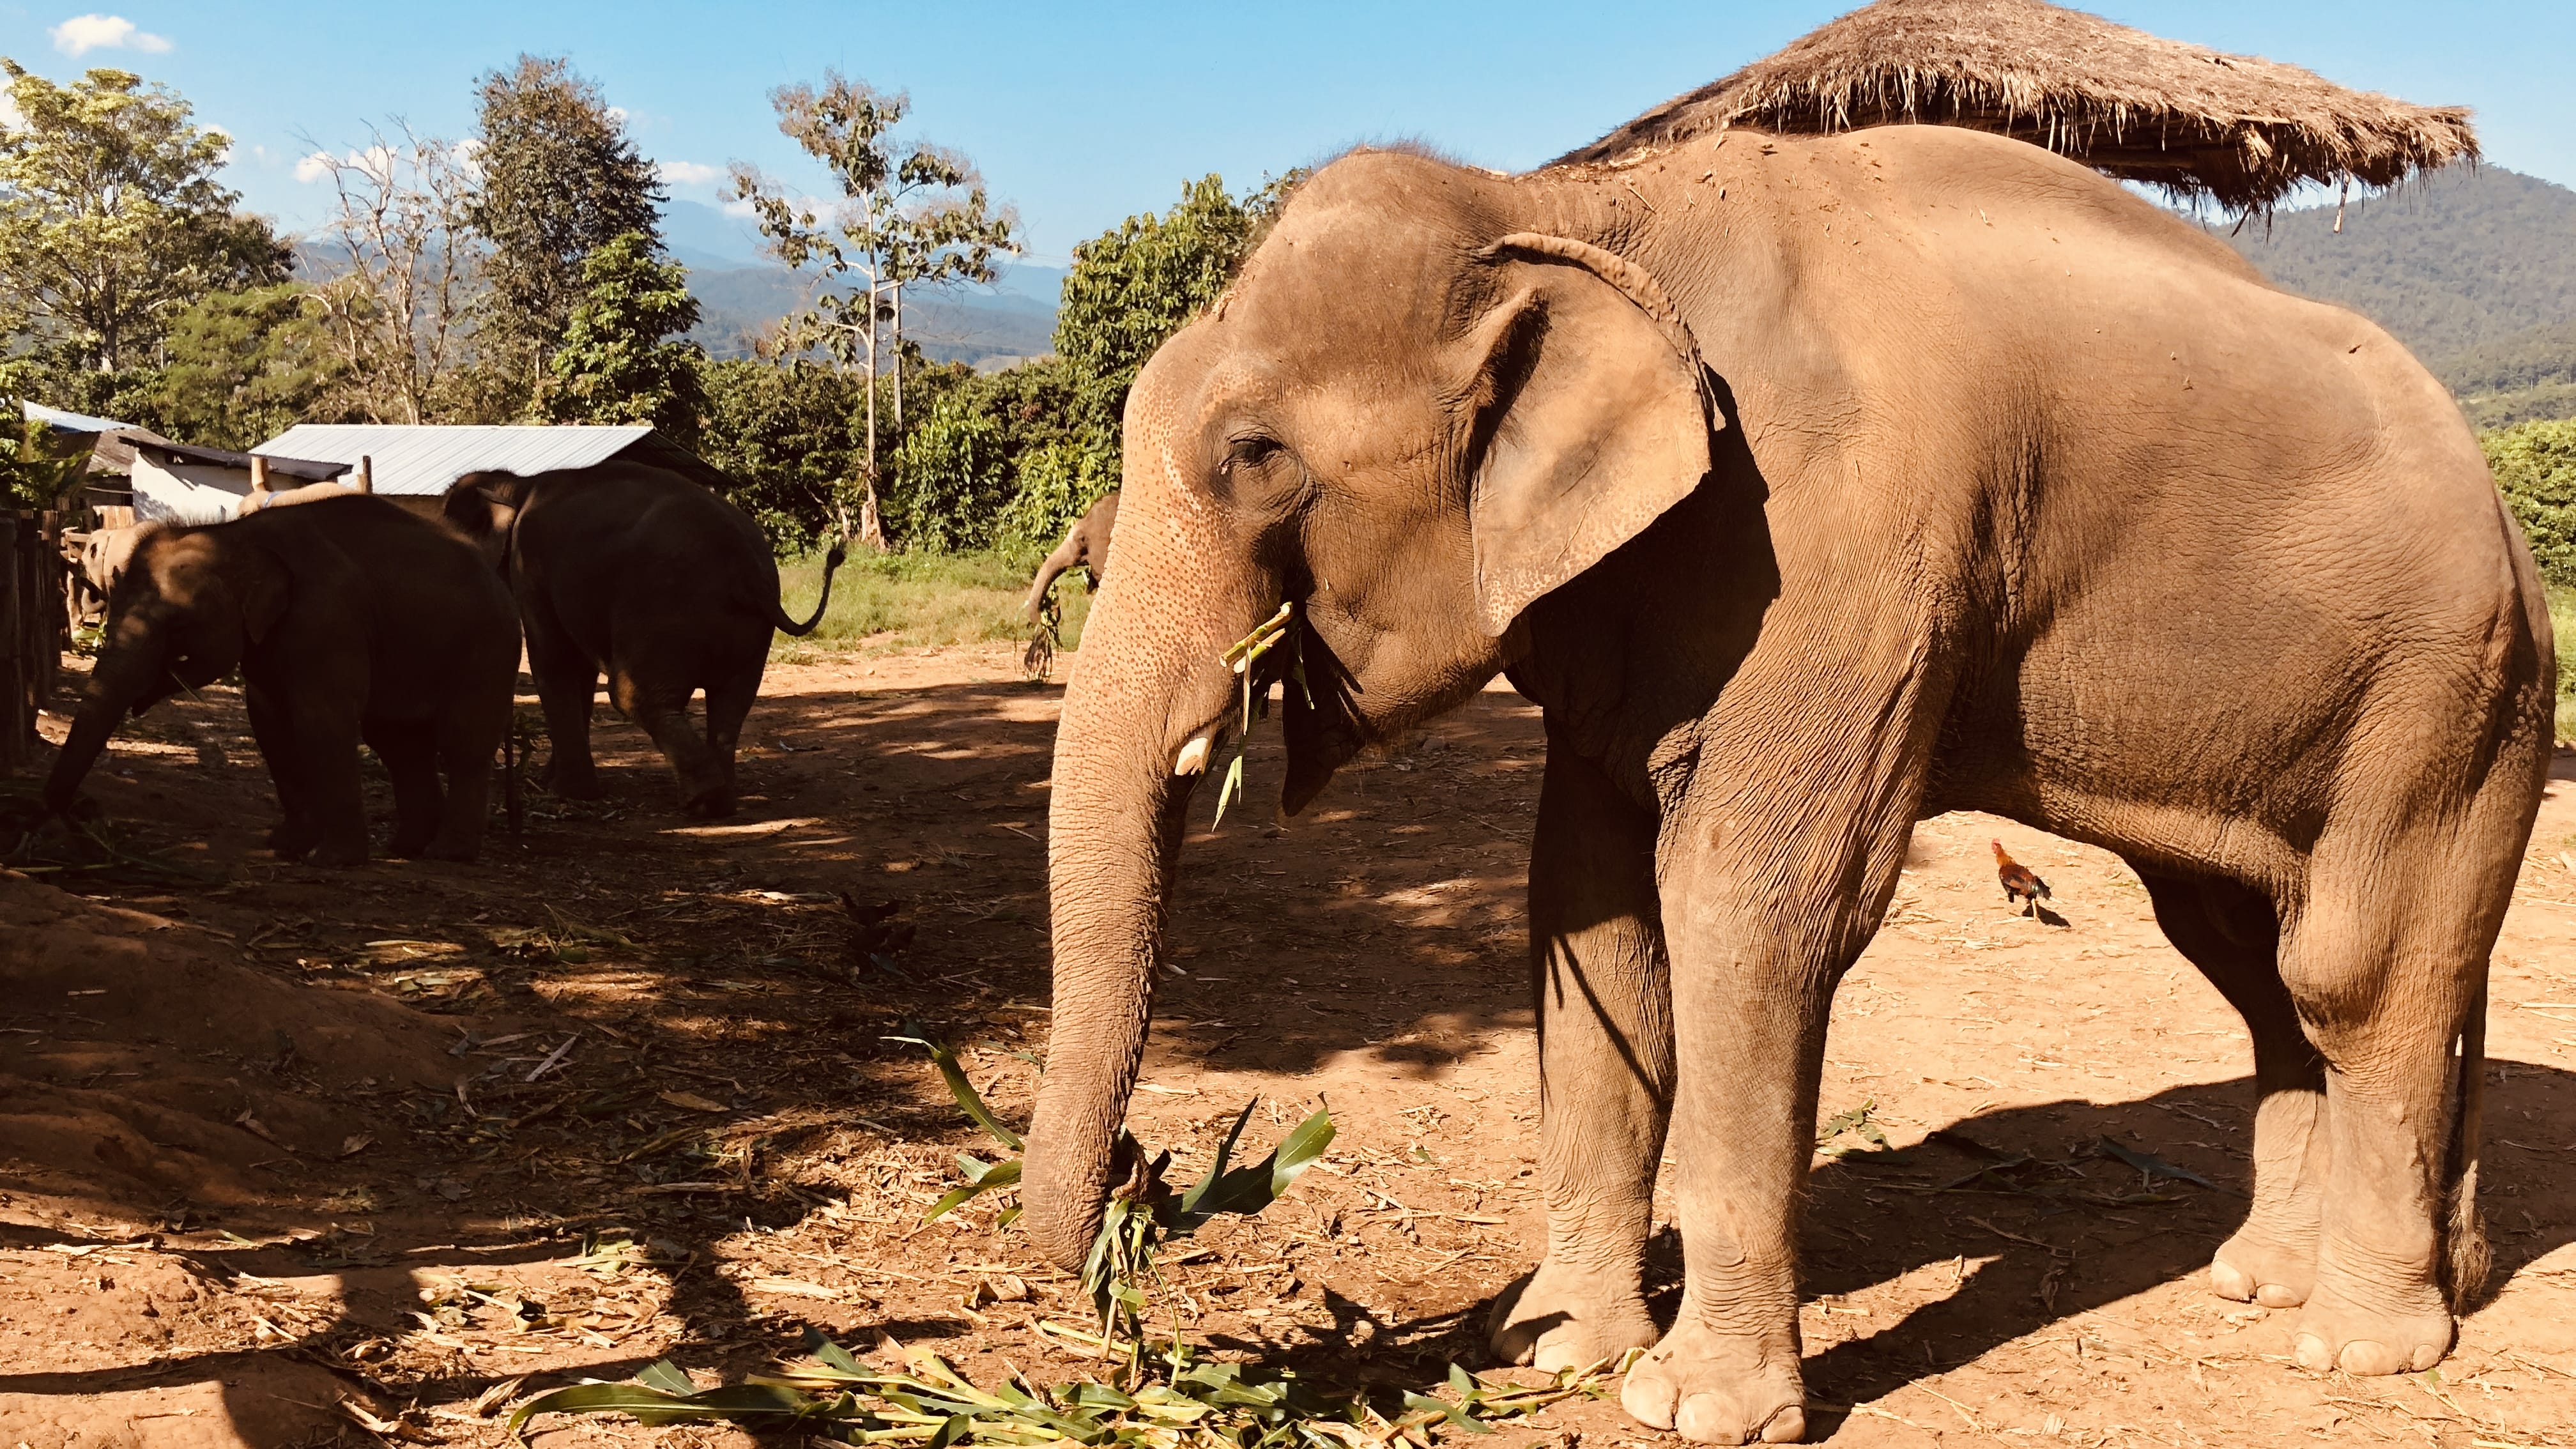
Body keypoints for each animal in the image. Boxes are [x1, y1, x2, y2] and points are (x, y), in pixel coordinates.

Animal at [44, 495, 520, 866]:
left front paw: (333, 860)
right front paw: (286, 846)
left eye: (178, 628)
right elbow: (270, 724)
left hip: (490, 651)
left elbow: (321, 720)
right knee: (400, 744)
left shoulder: (326, 620)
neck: (235, 537)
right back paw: (406, 849)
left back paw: (447, 853)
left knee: (463, 744)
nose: (79, 812)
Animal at [440, 461, 847, 818]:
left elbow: (555, 660)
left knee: (634, 696)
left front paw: (565, 793)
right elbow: (579, 671)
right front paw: (555, 782)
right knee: (731, 703)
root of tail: (746, 569)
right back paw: (720, 802)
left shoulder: (531, 564)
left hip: (661, 609)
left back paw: (704, 802)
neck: (518, 484)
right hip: (746, 632)